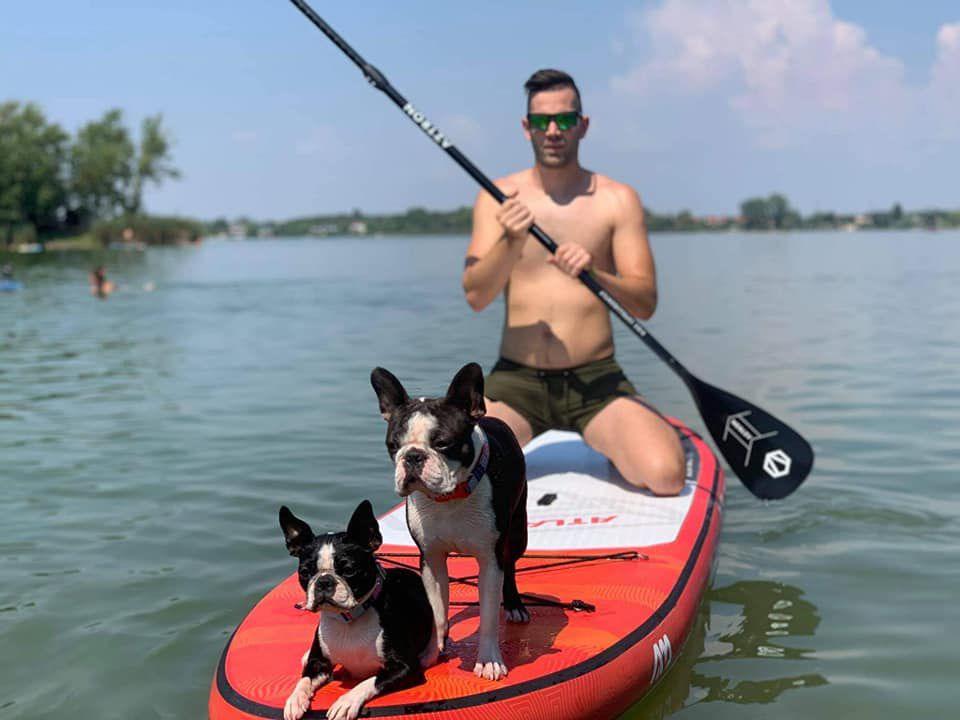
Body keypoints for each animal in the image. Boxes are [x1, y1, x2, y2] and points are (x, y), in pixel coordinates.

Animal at [279, 500, 437, 720]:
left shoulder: (406, 667)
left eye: (349, 570)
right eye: (304, 573)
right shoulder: (318, 663)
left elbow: (371, 680)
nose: (324, 581)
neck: (348, 620)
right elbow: (304, 679)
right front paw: (295, 699)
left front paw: (346, 701)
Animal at [370, 362, 529, 681]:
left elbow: (489, 616)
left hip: (518, 533)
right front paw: (434, 648)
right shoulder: (431, 559)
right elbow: (437, 610)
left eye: (443, 443)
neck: (448, 498)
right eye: (393, 445)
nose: (412, 456)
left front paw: (489, 661)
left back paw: (514, 605)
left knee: (511, 565)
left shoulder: (490, 561)